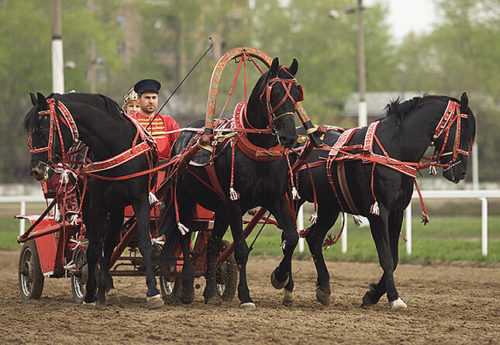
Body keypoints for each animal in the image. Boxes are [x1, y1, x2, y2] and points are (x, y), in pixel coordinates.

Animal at [24, 92, 163, 306]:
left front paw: (153, 292)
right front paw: (90, 291)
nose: (36, 170)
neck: (115, 144)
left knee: (110, 242)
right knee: (96, 243)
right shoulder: (96, 203)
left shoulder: (139, 199)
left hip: (116, 208)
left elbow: (143, 242)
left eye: (42, 128)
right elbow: (93, 248)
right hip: (90, 205)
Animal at [164, 57, 302, 306]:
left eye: (296, 93)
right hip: (184, 198)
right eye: (275, 92)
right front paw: (245, 295)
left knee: (212, 244)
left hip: (220, 208)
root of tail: (182, 138)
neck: (258, 151)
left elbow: (291, 238)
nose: (289, 137)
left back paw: (210, 292)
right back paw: (186, 287)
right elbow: (241, 250)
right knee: (184, 236)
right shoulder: (235, 203)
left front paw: (280, 277)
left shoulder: (274, 199)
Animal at [296, 92, 476, 308]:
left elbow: (395, 258)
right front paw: (394, 298)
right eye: (465, 132)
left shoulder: (397, 211)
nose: (462, 172)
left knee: (314, 238)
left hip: (328, 206)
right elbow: (386, 258)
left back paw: (322, 287)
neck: (392, 150)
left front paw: (372, 294)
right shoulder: (378, 212)